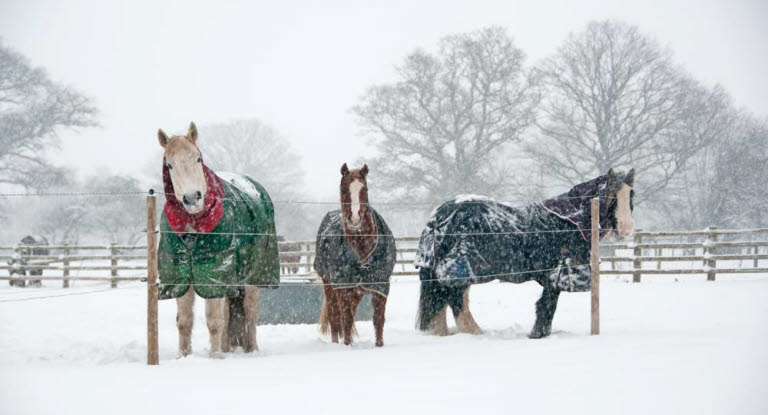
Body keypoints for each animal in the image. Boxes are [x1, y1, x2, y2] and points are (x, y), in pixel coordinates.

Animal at [155, 122, 280, 358]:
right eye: (170, 165)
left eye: (198, 159)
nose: (192, 198)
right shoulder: (180, 276)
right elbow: (184, 322)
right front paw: (184, 356)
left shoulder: (215, 274)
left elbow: (214, 321)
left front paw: (215, 357)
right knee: (229, 314)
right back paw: (226, 347)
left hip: (254, 276)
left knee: (250, 313)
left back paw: (251, 350)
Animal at [312, 164, 396, 346]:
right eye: (343, 189)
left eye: (365, 189)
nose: (355, 218)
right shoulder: (344, 286)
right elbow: (346, 319)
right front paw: (347, 345)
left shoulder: (380, 286)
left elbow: (378, 320)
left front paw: (379, 346)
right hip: (329, 285)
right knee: (335, 317)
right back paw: (336, 342)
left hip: (356, 292)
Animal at [414, 168, 636, 338]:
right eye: (611, 195)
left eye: (631, 195)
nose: (626, 229)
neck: (566, 222)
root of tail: (439, 215)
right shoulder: (555, 276)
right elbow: (546, 307)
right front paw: (537, 335)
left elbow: (546, 308)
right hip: (459, 271)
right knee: (456, 304)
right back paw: (476, 333)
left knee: (442, 304)